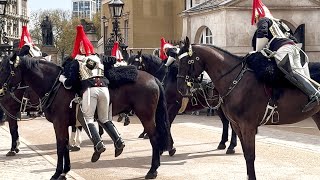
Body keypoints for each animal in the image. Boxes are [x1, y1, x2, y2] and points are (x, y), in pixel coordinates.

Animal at [0, 54, 172, 179]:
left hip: (146, 116)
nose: (1, 92)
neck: (55, 86)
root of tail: (153, 78)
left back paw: (152, 170)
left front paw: (57, 173)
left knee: (155, 139)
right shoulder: (65, 124)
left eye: (4, 69)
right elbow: (65, 145)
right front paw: (65, 170)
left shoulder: (59, 123)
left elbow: (60, 147)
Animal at [176, 36, 320, 179]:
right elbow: (246, 154)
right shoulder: (237, 125)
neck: (236, 80)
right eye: (178, 61)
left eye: (187, 61)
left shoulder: (248, 126)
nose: (181, 89)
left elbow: (250, 155)